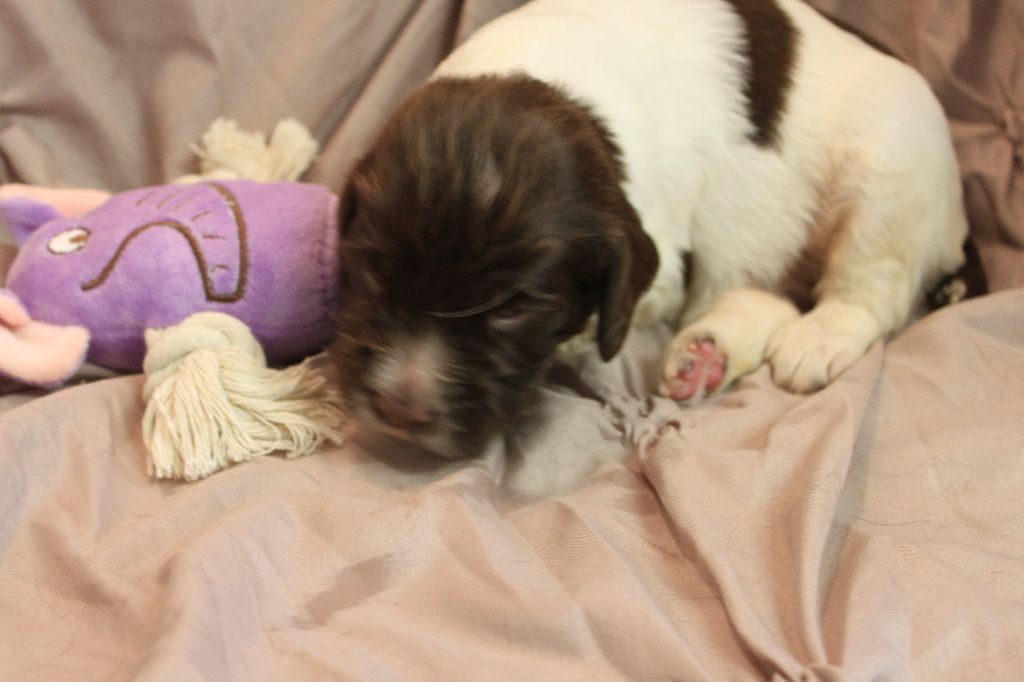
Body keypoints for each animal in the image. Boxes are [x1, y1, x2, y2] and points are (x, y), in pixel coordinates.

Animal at [330, 0, 969, 459]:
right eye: (371, 270)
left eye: (515, 308)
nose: (400, 409)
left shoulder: (655, 264)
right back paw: (705, 356)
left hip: (890, 165)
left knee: (872, 289)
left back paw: (817, 338)